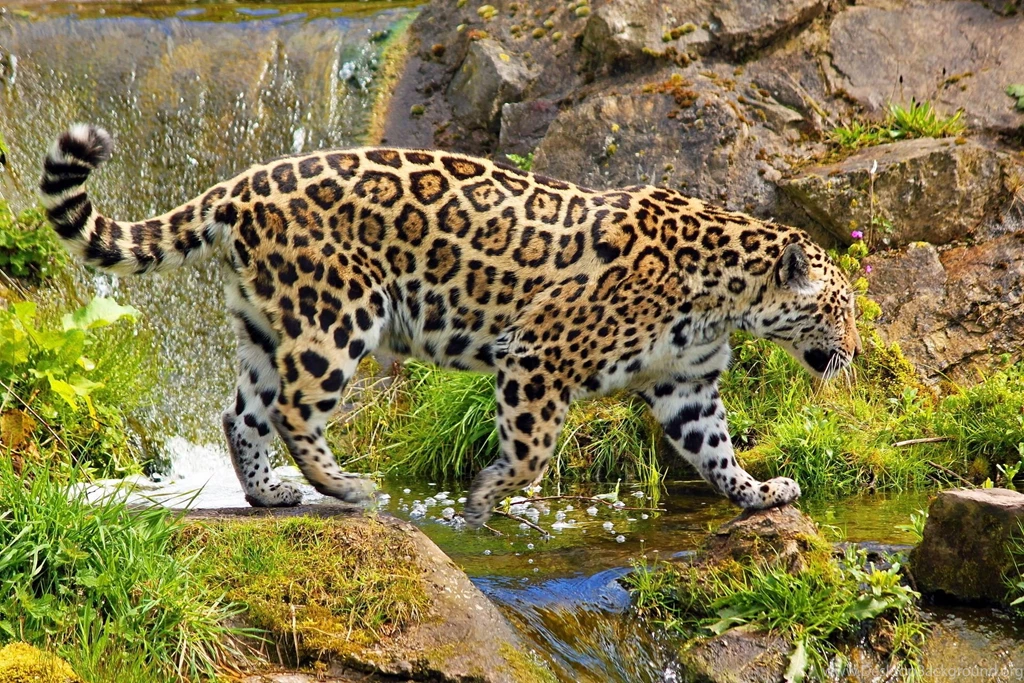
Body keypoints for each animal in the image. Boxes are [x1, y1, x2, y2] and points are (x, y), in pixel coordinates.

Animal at [40, 124, 860, 528]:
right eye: (843, 309)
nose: (852, 354)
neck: (727, 293)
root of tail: (240, 185)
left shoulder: (685, 386)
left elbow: (715, 451)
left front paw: (760, 494)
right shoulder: (537, 355)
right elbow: (532, 452)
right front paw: (486, 498)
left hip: (268, 325)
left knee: (242, 411)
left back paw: (271, 495)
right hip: (338, 313)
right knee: (295, 408)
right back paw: (348, 487)